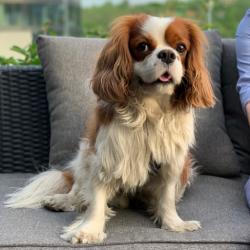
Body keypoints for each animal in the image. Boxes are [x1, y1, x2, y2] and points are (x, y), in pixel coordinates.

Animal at [4, 14, 215, 244]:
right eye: (142, 46)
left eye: (181, 47)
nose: (167, 54)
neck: (151, 109)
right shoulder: (106, 156)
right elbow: (96, 198)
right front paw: (89, 230)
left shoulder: (172, 161)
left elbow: (166, 196)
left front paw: (173, 223)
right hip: (84, 155)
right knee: (78, 190)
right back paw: (63, 201)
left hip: (186, 168)